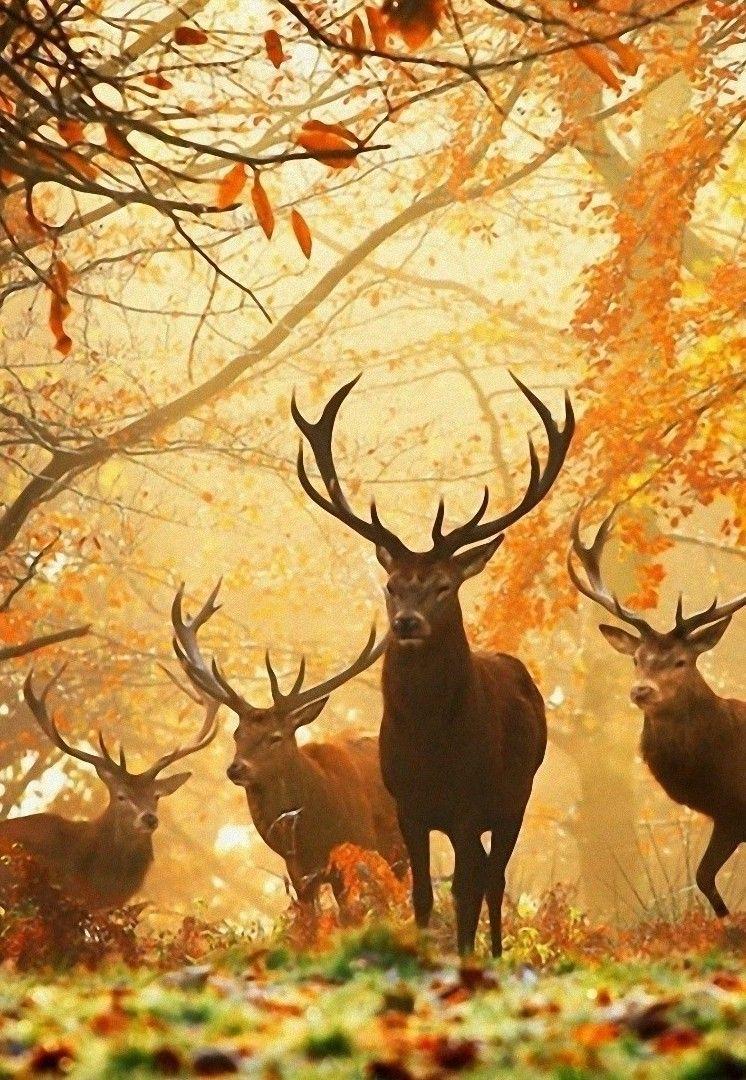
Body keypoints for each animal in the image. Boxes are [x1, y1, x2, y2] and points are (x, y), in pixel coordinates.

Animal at [291, 374, 575, 956]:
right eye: (392, 585)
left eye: (444, 586)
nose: (407, 622)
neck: (432, 746)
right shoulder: (409, 806)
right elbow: (422, 894)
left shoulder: (469, 804)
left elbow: (465, 890)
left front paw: (465, 956)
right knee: (485, 873)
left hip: (516, 795)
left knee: (494, 877)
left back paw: (494, 951)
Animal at [568, 504, 745, 917]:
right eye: (637, 658)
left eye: (680, 661)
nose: (641, 689)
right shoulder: (727, 814)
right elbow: (703, 877)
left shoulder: (735, 812)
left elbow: (705, 876)